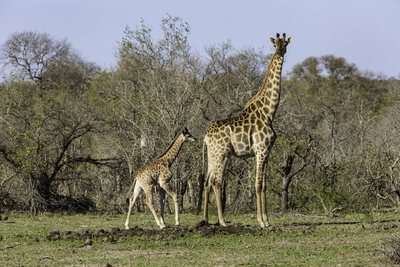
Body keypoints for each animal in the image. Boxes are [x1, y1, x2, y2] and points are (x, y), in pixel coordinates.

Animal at [202, 33, 292, 229]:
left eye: (284, 44)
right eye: (275, 44)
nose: (279, 52)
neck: (269, 112)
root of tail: (205, 136)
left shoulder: (266, 152)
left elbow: (263, 185)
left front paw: (267, 220)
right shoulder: (261, 149)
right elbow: (258, 185)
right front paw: (261, 222)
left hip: (212, 155)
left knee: (206, 181)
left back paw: (205, 220)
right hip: (222, 154)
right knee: (217, 182)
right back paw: (222, 221)